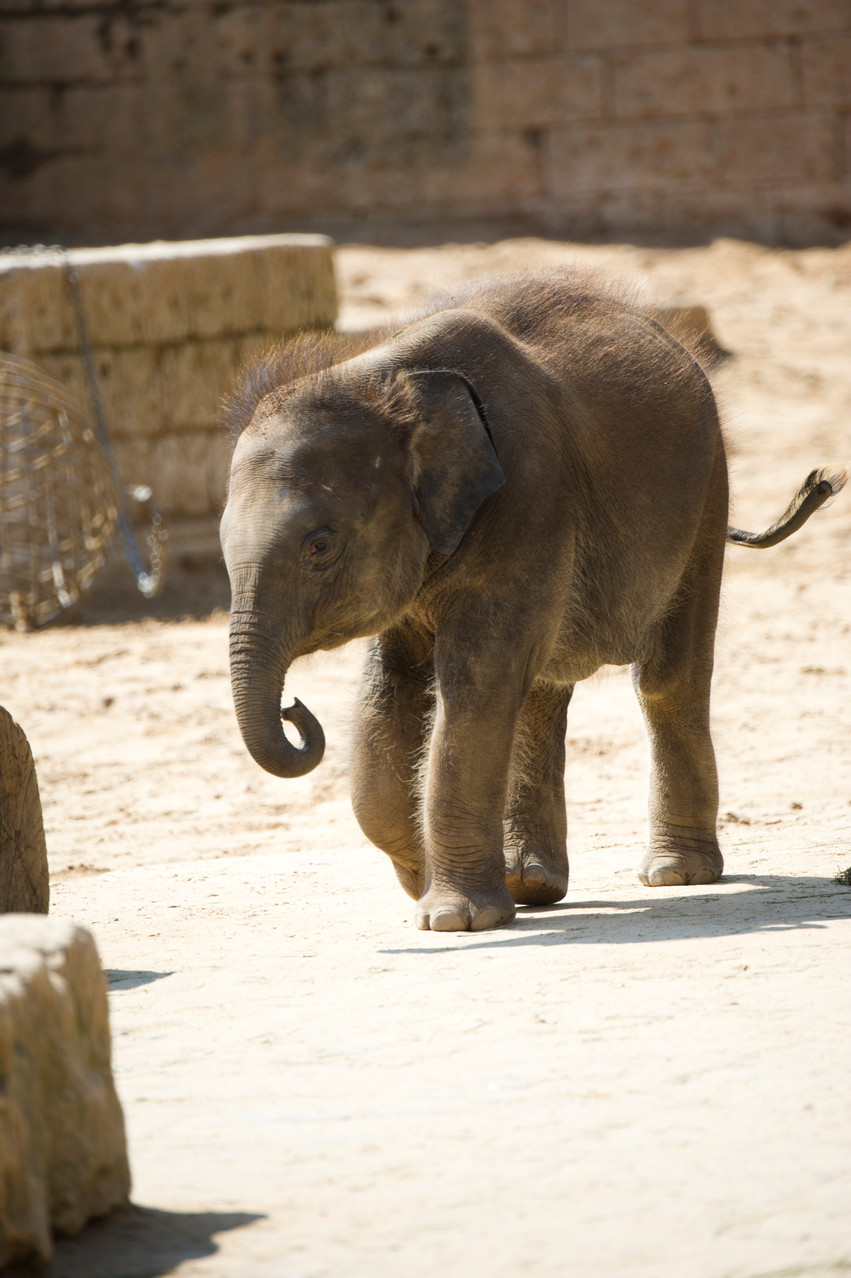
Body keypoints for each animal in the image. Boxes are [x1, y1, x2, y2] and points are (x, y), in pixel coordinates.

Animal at [218, 272, 843, 930]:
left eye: (319, 546)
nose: (293, 708)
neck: (385, 380)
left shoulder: (529, 497)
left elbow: (475, 682)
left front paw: (453, 918)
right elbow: (389, 691)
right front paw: (425, 881)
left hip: (705, 496)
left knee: (666, 679)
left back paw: (676, 875)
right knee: (541, 689)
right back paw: (533, 885)